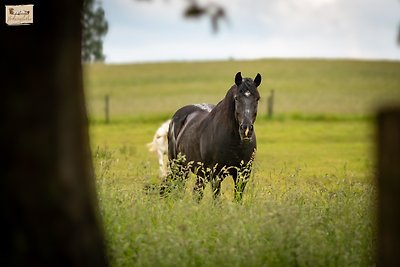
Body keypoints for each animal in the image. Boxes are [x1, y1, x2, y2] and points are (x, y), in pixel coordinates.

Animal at [163, 72, 260, 202]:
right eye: (236, 98)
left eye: (257, 98)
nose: (246, 129)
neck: (234, 143)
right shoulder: (216, 175)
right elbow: (217, 200)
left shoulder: (242, 175)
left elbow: (237, 199)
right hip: (178, 168)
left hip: (199, 173)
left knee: (196, 193)